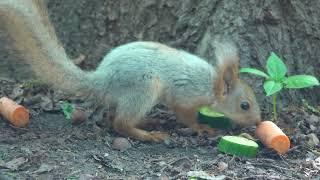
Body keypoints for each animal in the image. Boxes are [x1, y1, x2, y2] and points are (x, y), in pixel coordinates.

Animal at [0, 0, 260, 142]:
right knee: (120, 123)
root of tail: (101, 79)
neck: (211, 84)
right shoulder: (185, 96)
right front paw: (201, 127)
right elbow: (185, 115)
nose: (258, 121)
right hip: (145, 87)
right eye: (244, 105)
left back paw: (149, 121)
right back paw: (149, 135)